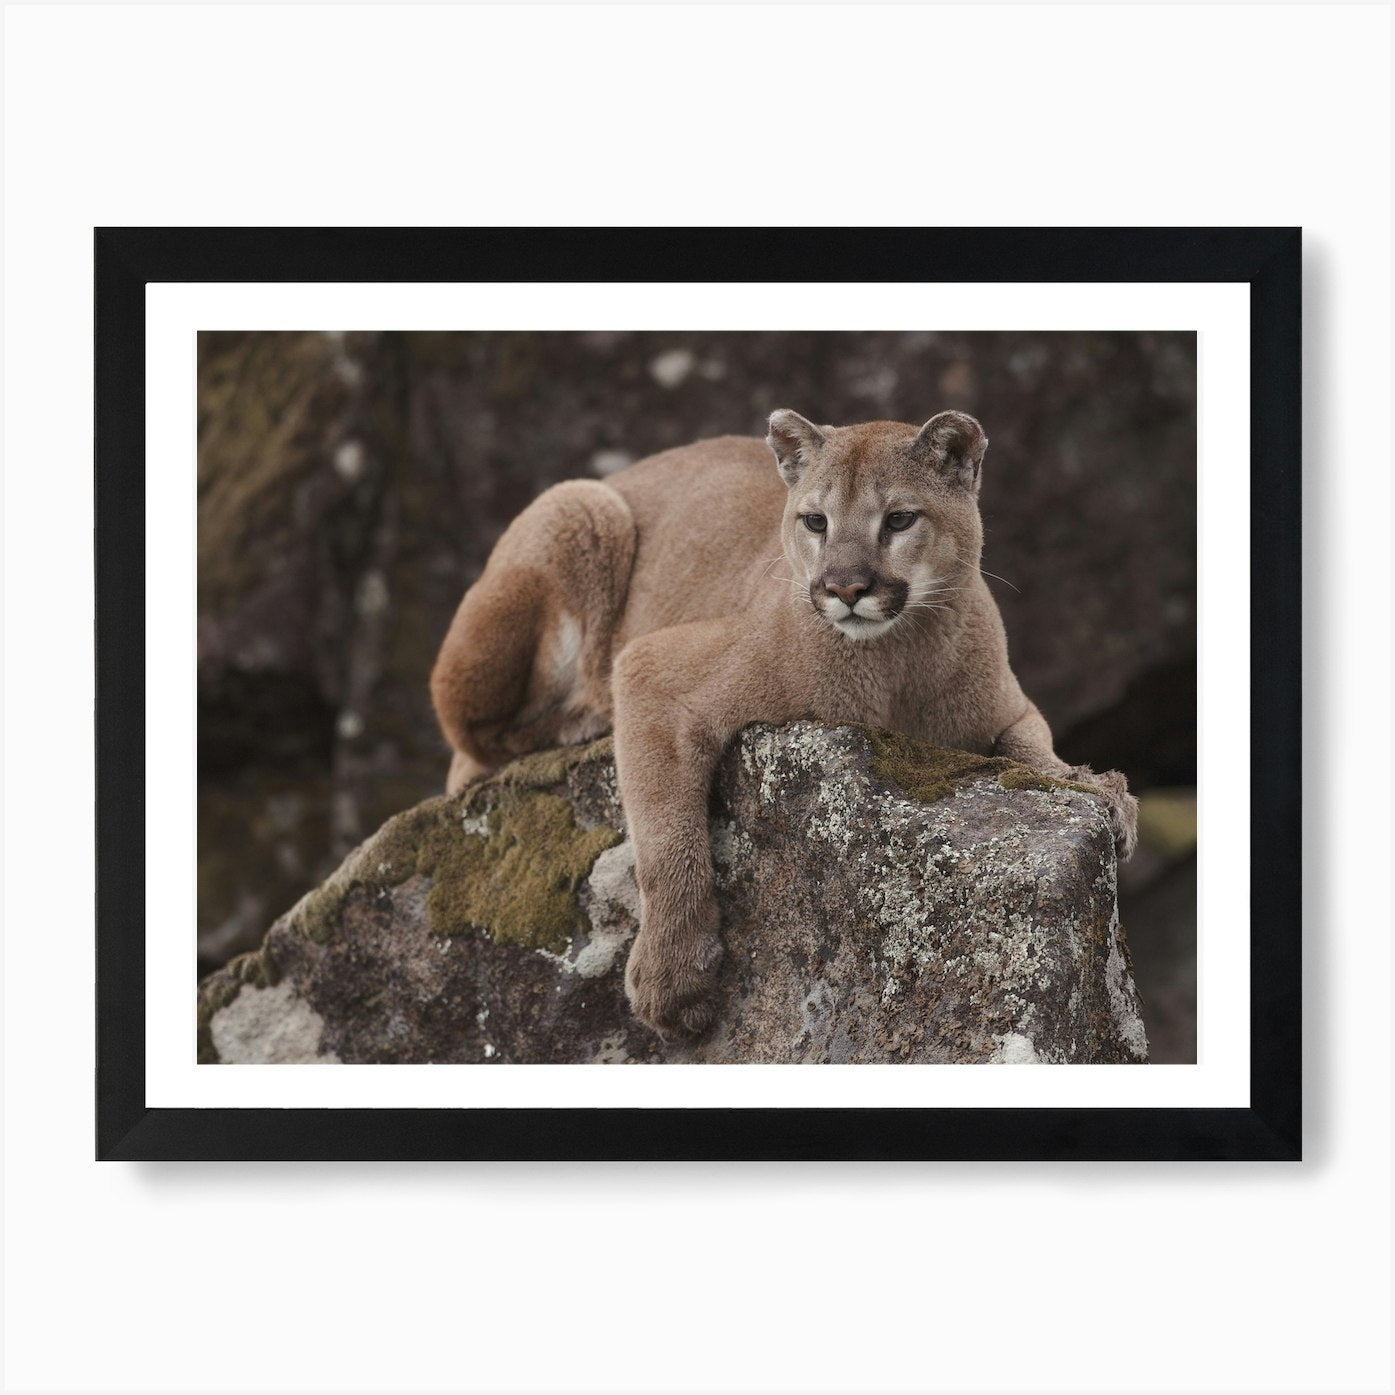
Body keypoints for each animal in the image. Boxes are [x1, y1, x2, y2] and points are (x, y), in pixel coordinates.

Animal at [430, 410, 1138, 1037]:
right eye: (815, 521)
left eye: (899, 519)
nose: (844, 588)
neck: (895, 665)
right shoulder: (652, 670)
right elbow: (666, 837)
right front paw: (673, 979)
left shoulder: (1010, 707)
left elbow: (1034, 751)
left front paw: (1098, 789)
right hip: (579, 507)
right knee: (470, 742)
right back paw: (580, 721)